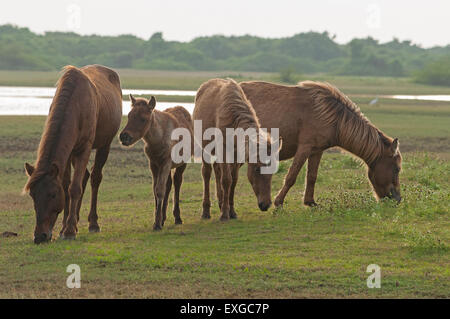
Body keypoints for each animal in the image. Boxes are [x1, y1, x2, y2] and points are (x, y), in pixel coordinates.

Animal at [22, 65, 121, 245]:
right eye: (33, 195)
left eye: (53, 194)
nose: (40, 236)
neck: (76, 104)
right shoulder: (68, 154)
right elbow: (67, 186)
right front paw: (64, 227)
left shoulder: (84, 148)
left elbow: (74, 188)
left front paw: (69, 231)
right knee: (85, 176)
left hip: (104, 145)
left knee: (95, 178)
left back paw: (93, 223)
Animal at [118, 94, 192, 230]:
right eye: (129, 115)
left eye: (143, 119)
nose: (124, 136)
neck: (157, 140)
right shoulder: (153, 164)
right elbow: (155, 190)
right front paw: (158, 220)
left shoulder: (166, 162)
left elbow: (159, 190)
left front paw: (157, 224)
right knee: (169, 184)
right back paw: (164, 217)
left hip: (181, 164)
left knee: (177, 183)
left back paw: (177, 217)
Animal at [194, 79, 282, 221]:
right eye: (257, 169)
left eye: (273, 169)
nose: (266, 204)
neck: (233, 120)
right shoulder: (224, 150)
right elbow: (226, 180)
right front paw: (224, 214)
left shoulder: (236, 155)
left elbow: (233, 181)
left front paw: (232, 211)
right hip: (205, 149)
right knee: (206, 173)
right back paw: (206, 211)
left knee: (217, 170)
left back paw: (220, 202)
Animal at [241, 80, 402, 208]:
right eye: (397, 169)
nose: (398, 199)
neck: (332, 117)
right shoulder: (304, 148)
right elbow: (291, 177)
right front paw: (278, 202)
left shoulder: (316, 151)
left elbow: (312, 177)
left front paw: (310, 202)